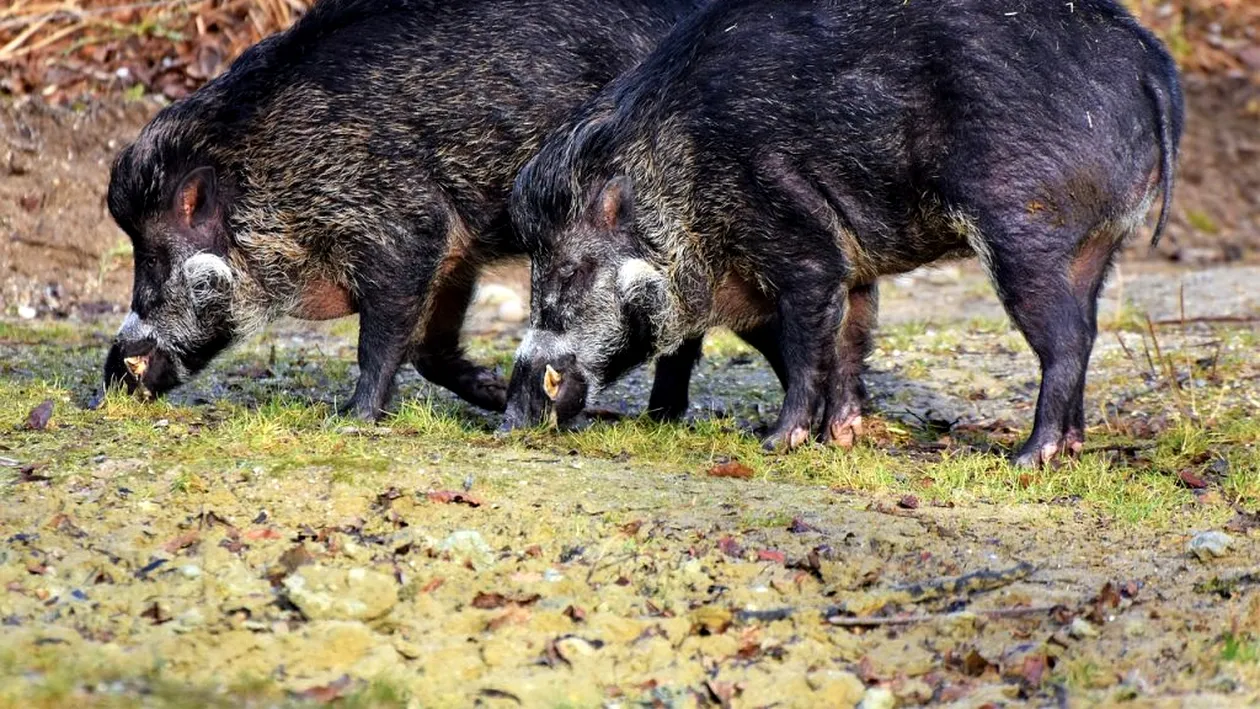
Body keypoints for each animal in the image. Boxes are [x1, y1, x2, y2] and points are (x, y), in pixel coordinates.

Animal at [100, 0, 710, 420]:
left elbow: (381, 339)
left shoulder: (404, 229)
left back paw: (658, 417)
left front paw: (350, 418)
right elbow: (429, 350)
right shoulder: (455, 251)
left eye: (153, 259)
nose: (107, 379)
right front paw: (493, 394)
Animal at [501, 0, 1179, 465]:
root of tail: (1152, 61)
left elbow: (807, 345)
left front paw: (777, 442)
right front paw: (842, 438)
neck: (680, 176)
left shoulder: (800, 239)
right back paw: (1070, 447)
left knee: (1066, 340)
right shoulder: (853, 270)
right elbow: (851, 339)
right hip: (1098, 244)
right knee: (1088, 328)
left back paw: (1029, 457)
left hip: (1026, 230)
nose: (506, 420)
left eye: (569, 269)